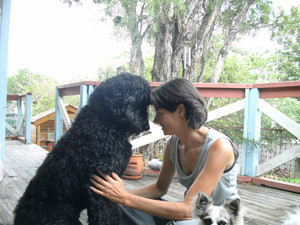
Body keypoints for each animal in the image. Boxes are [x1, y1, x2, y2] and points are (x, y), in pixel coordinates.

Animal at [13, 73, 150, 224]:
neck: (104, 122)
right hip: (62, 213)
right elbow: (106, 216)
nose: (147, 125)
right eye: (140, 99)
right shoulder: (101, 187)